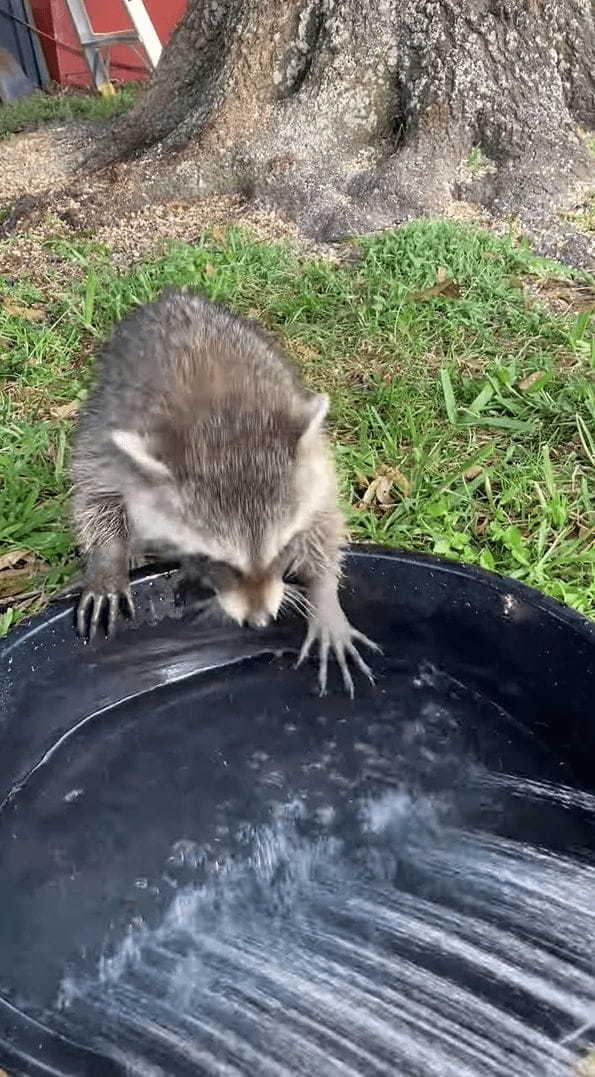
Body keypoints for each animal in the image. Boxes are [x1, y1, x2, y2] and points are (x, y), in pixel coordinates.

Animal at [69, 286, 377, 693]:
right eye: (215, 560)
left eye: (283, 548)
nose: (260, 621)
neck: (224, 430)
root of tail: (171, 296)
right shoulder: (111, 442)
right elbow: (95, 491)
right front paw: (108, 557)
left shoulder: (312, 462)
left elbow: (324, 520)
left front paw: (324, 596)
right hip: (102, 399)